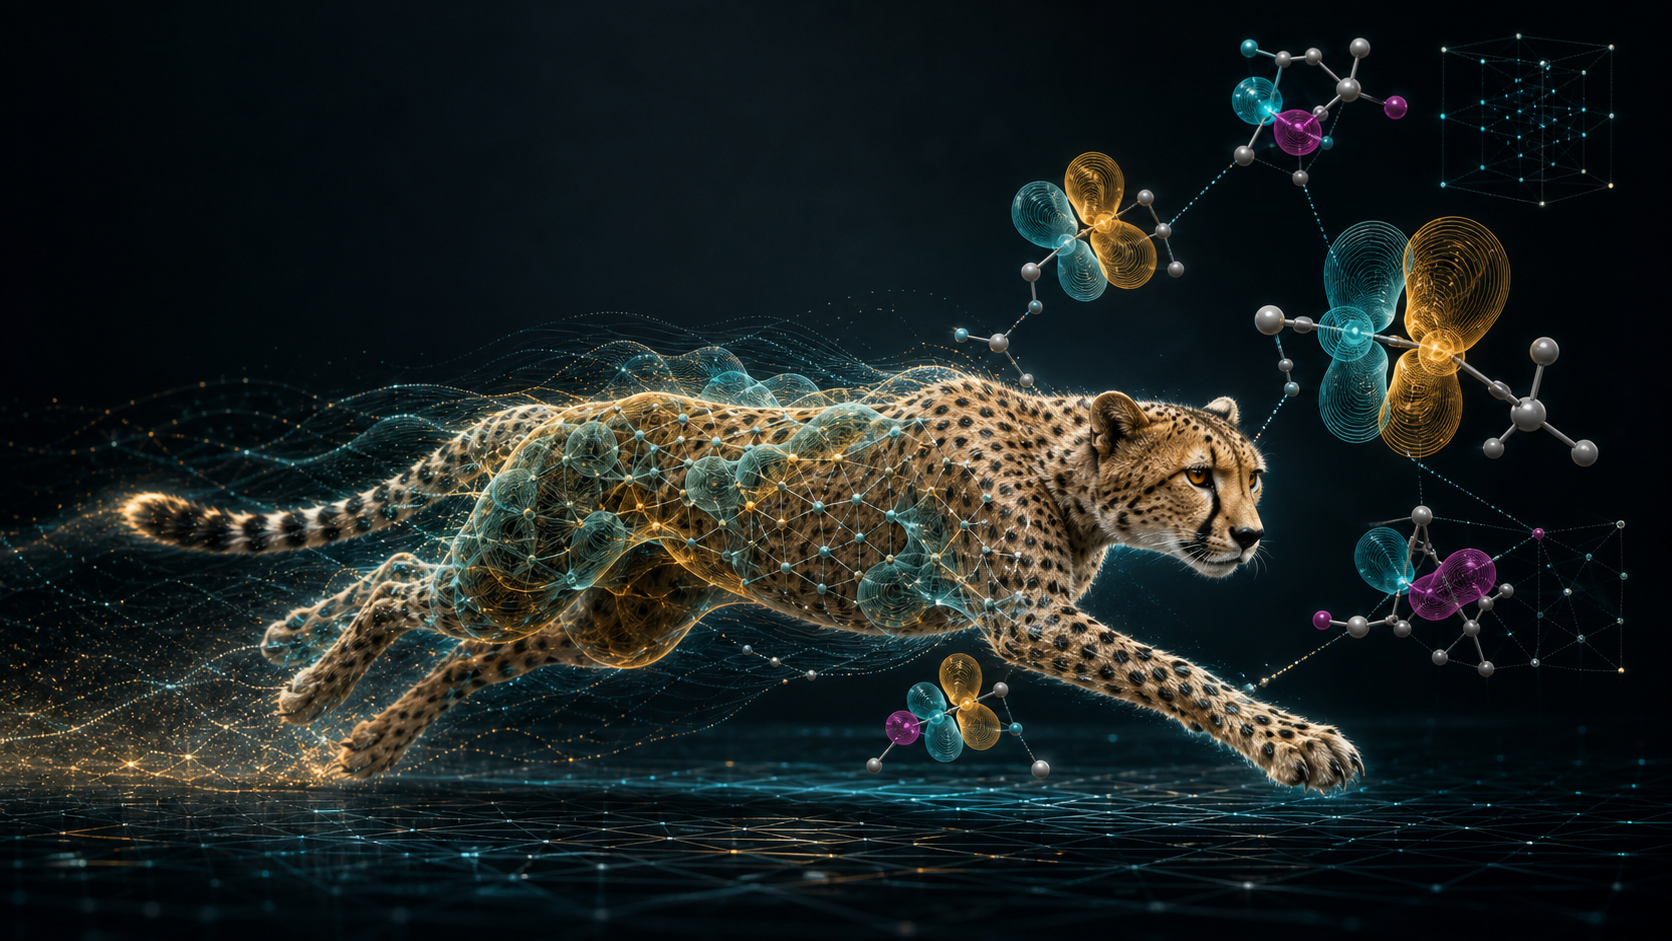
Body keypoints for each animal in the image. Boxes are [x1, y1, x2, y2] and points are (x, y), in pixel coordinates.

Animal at [122, 352, 1362, 791]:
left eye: (1256, 476)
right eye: (1200, 476)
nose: (1252, 536)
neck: (1067, 472)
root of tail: (561, 409)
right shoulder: (1027, 616)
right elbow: (1180, 673)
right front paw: (1297, 742)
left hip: (622, 615)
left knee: (479, 643)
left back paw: (364, 737)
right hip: (521, 554)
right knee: (402, 577)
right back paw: (306, 688)